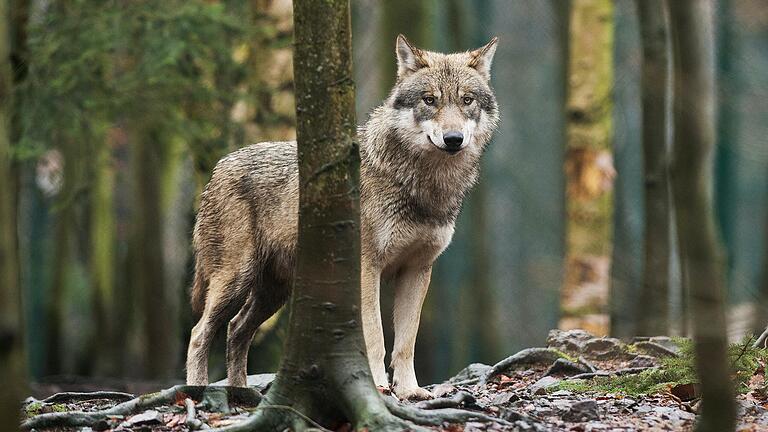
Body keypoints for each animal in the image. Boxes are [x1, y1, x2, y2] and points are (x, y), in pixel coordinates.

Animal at [185, 34, 498, 402]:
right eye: (429, 100)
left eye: (467, 100)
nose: (453, 139)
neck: (422, 185)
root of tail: (218, 167)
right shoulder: (367, 268)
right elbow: (375, 337)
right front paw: (378, 387)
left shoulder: (417, 270)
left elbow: (406, 342)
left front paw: (410, 391)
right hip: (235, 281)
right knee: (199, 333)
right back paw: (197, 391)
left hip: (273, 293)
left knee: (236, 330)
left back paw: (241, 394)